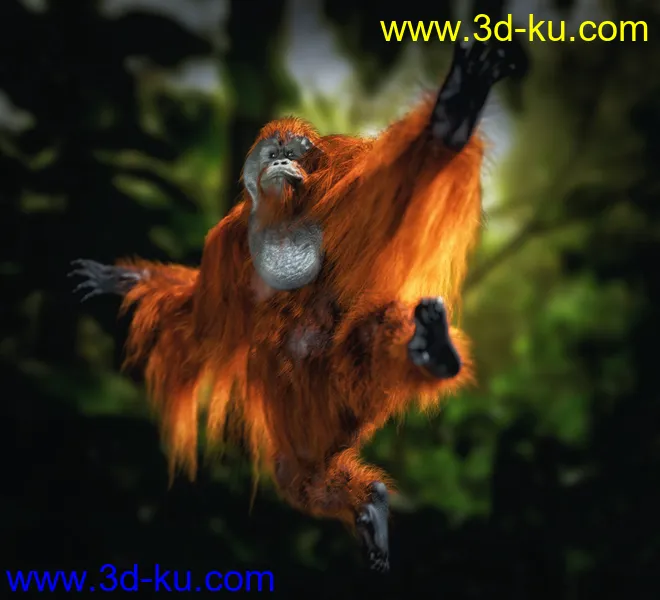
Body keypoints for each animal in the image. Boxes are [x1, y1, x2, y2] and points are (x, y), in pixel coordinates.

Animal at [69, 41, 525, 573]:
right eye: (274, 154)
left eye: (293, 154)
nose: (282, 163)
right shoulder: (227, 244)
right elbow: (201, 319)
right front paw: (120, 279)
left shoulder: (342, 186)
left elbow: (389, 196)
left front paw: (449, 119)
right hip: (304, 412)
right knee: (298, 469)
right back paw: (367, 499)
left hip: (345, 385)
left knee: (367, 341)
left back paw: (428, 350)